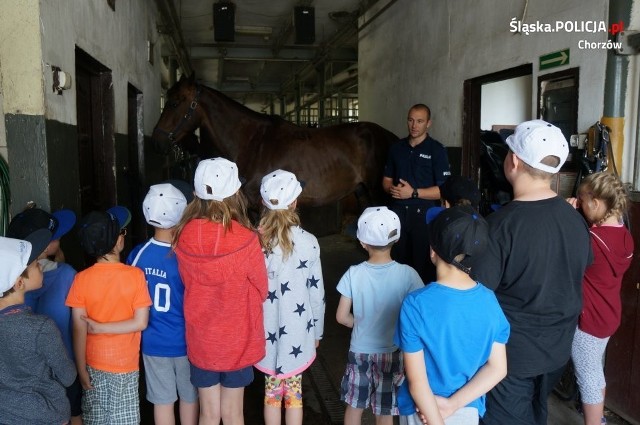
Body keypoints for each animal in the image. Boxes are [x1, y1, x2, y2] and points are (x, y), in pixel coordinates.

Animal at [152, 77, 398, 210]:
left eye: (174, 103)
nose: (157, 141)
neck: (252, 142)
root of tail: (389, 136)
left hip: (378, 191)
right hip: (362, 192)